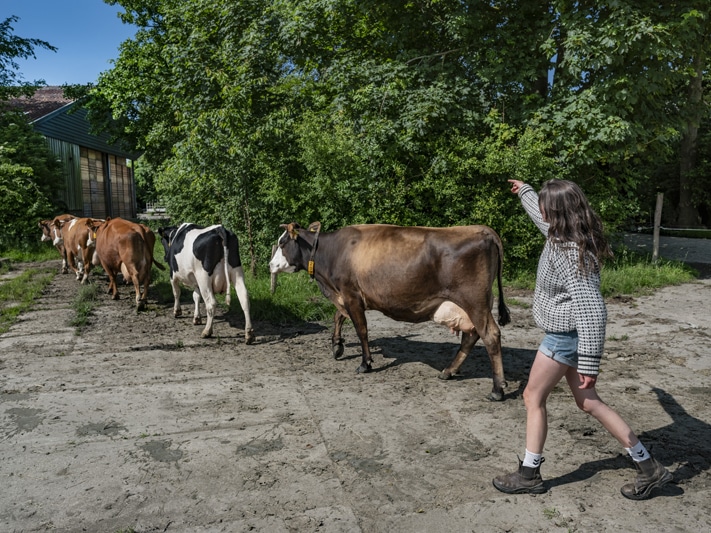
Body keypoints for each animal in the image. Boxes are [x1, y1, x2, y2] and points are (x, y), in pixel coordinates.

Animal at [268, 220, 512, 400]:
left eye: (282, 243)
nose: (270, 265)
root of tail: (482, 230)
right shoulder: (348, 296)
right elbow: (338, 316)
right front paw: (337, 345)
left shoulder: (350, 294)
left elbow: (361, 330)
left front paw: (365, 363)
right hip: (471, 305)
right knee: (471, 337)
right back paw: (448, 371)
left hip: (475, 301)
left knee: (490, 335)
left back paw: (497, 389)